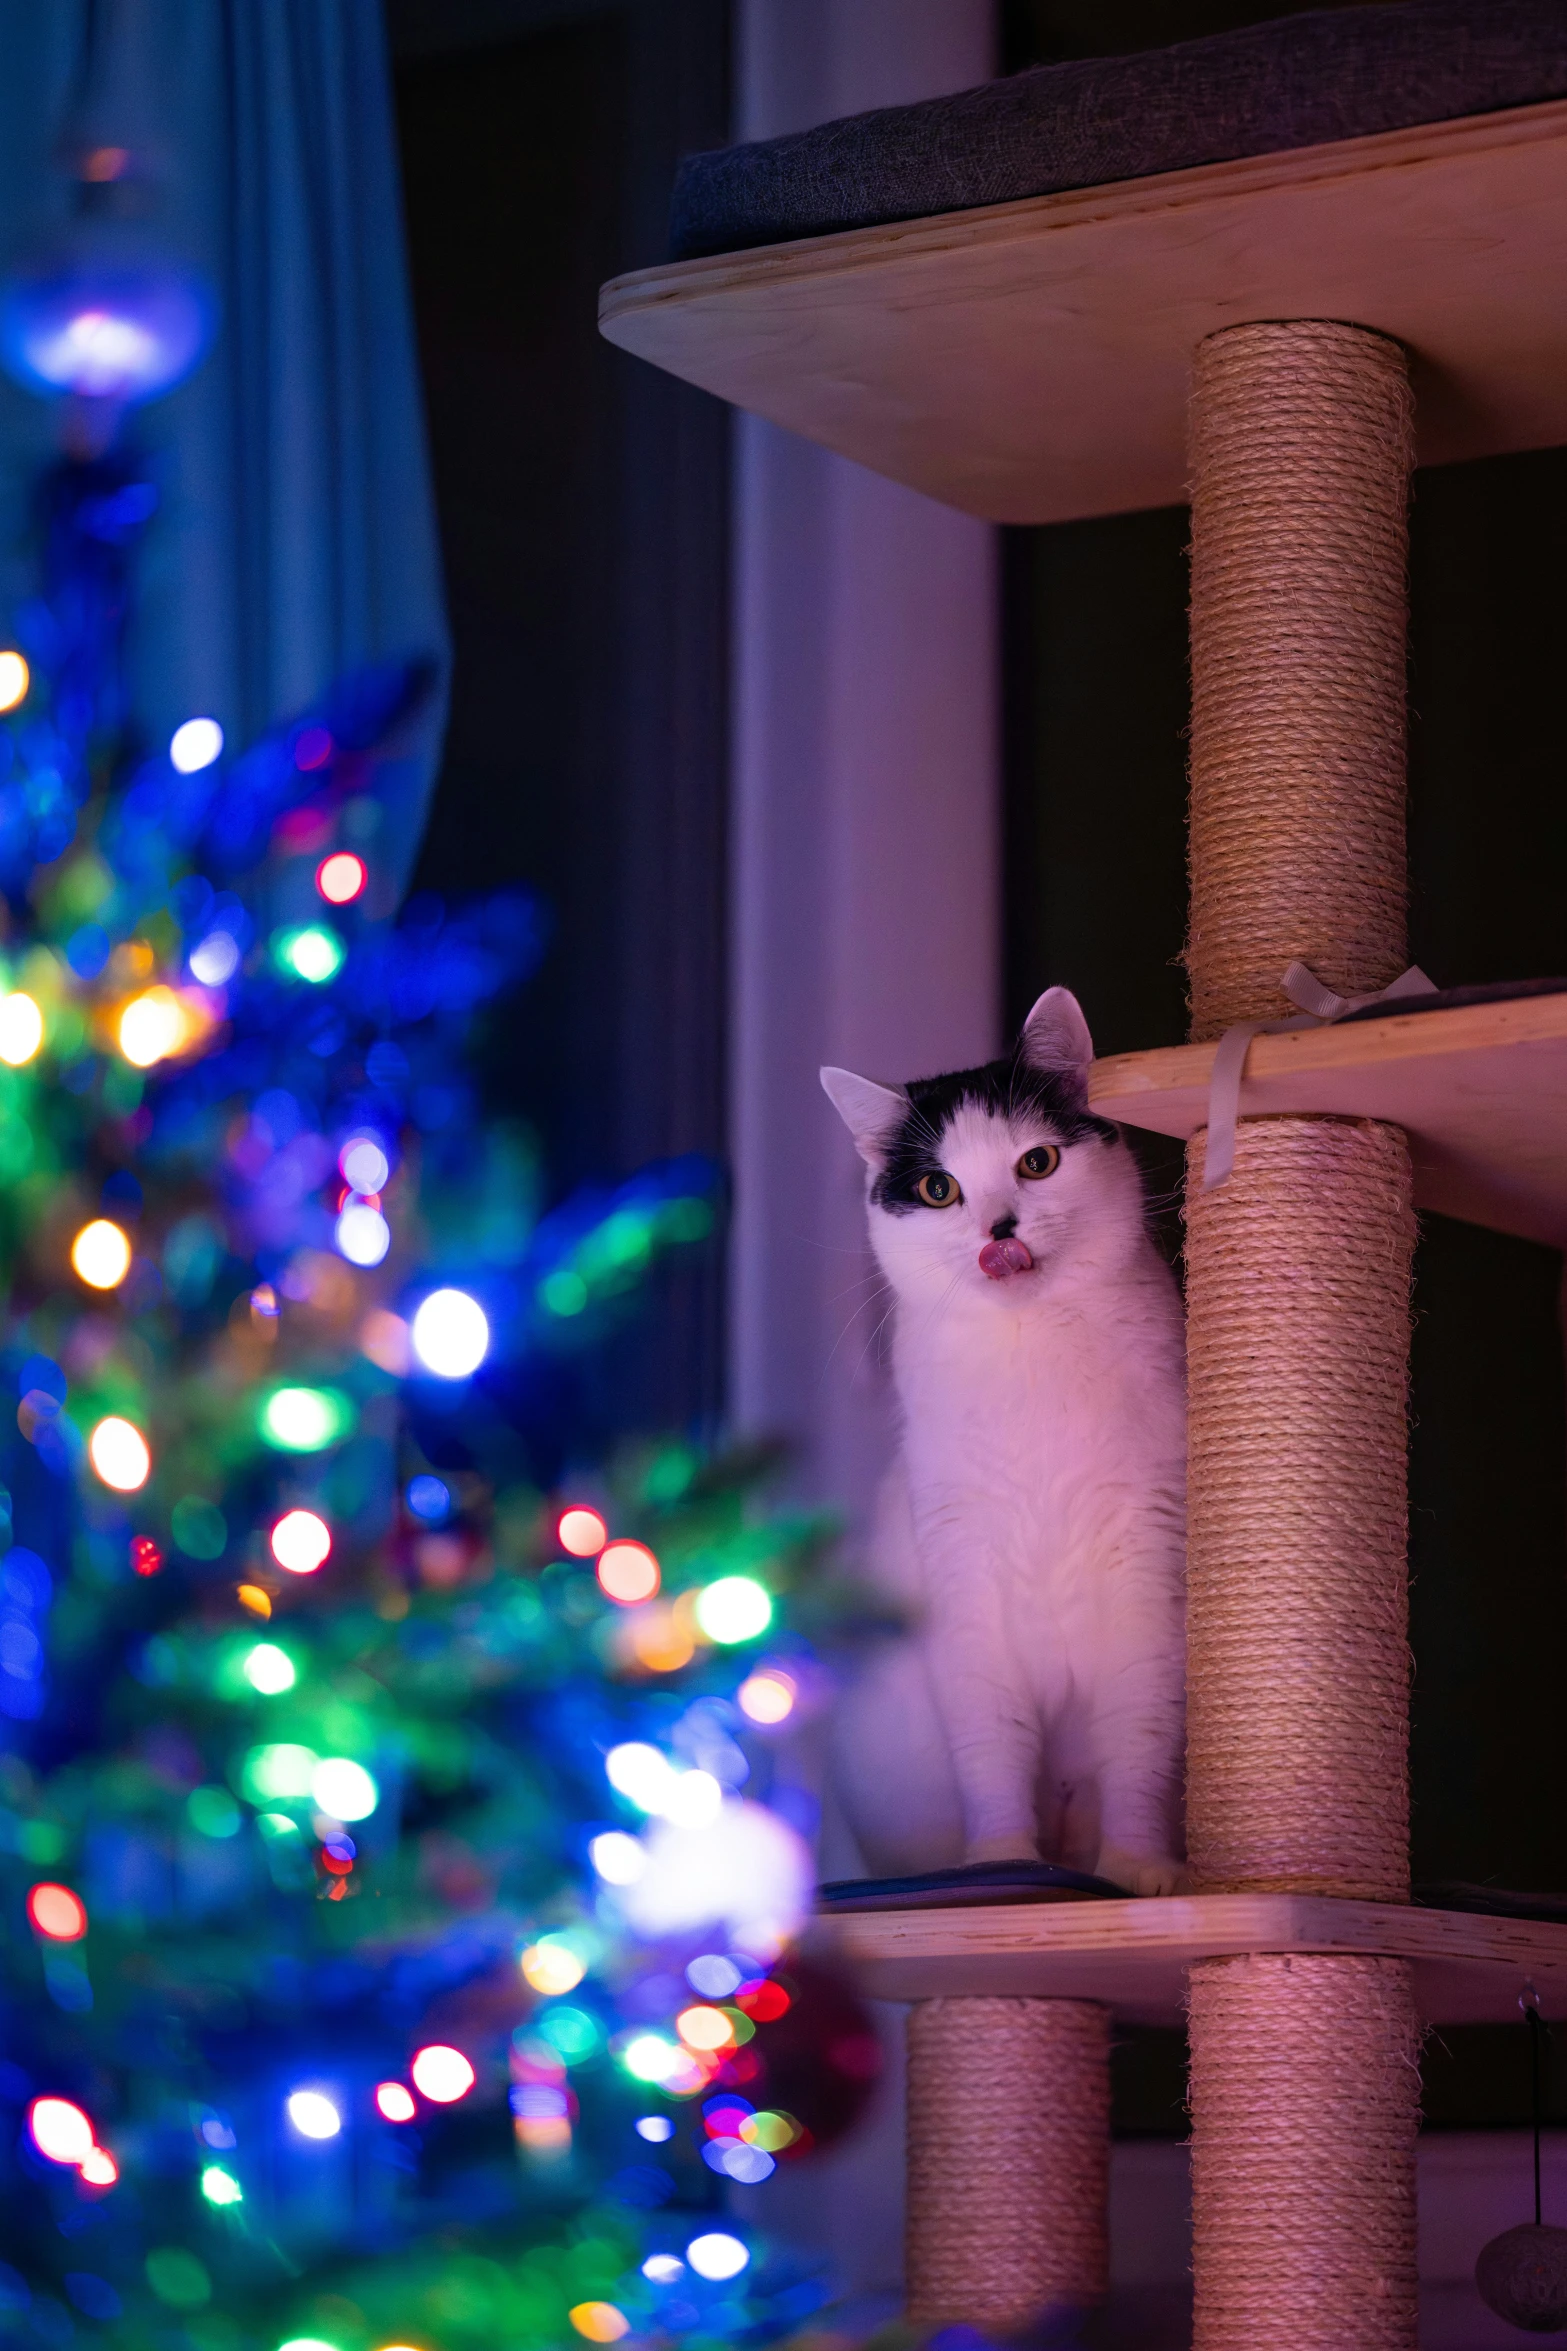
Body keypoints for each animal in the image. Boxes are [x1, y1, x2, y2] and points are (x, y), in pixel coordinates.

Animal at [826, 982, 1184, 1899]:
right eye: (938, 1187)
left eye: (1037, 1163)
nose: (998, 1228)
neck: (1030, 1355)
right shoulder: (963, 1586)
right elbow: (990, 1750)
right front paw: (1000, 1866)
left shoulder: (1146, 1580)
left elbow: (1137, 1743)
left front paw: (1136, 1869)